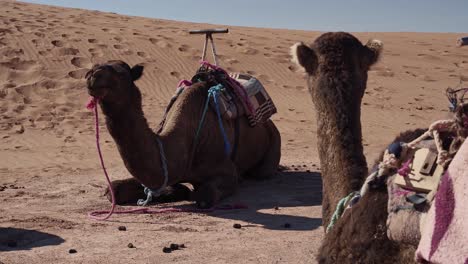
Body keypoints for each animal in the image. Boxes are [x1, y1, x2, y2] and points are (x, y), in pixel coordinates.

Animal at [84, 59, 282, 208]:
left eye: (122, 73)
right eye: (95, 67)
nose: (93, 74)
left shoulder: (226, 171)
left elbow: (204, 195)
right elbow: (113, 190)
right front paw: (172, 191)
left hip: (273, 144)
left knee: (262, 172)